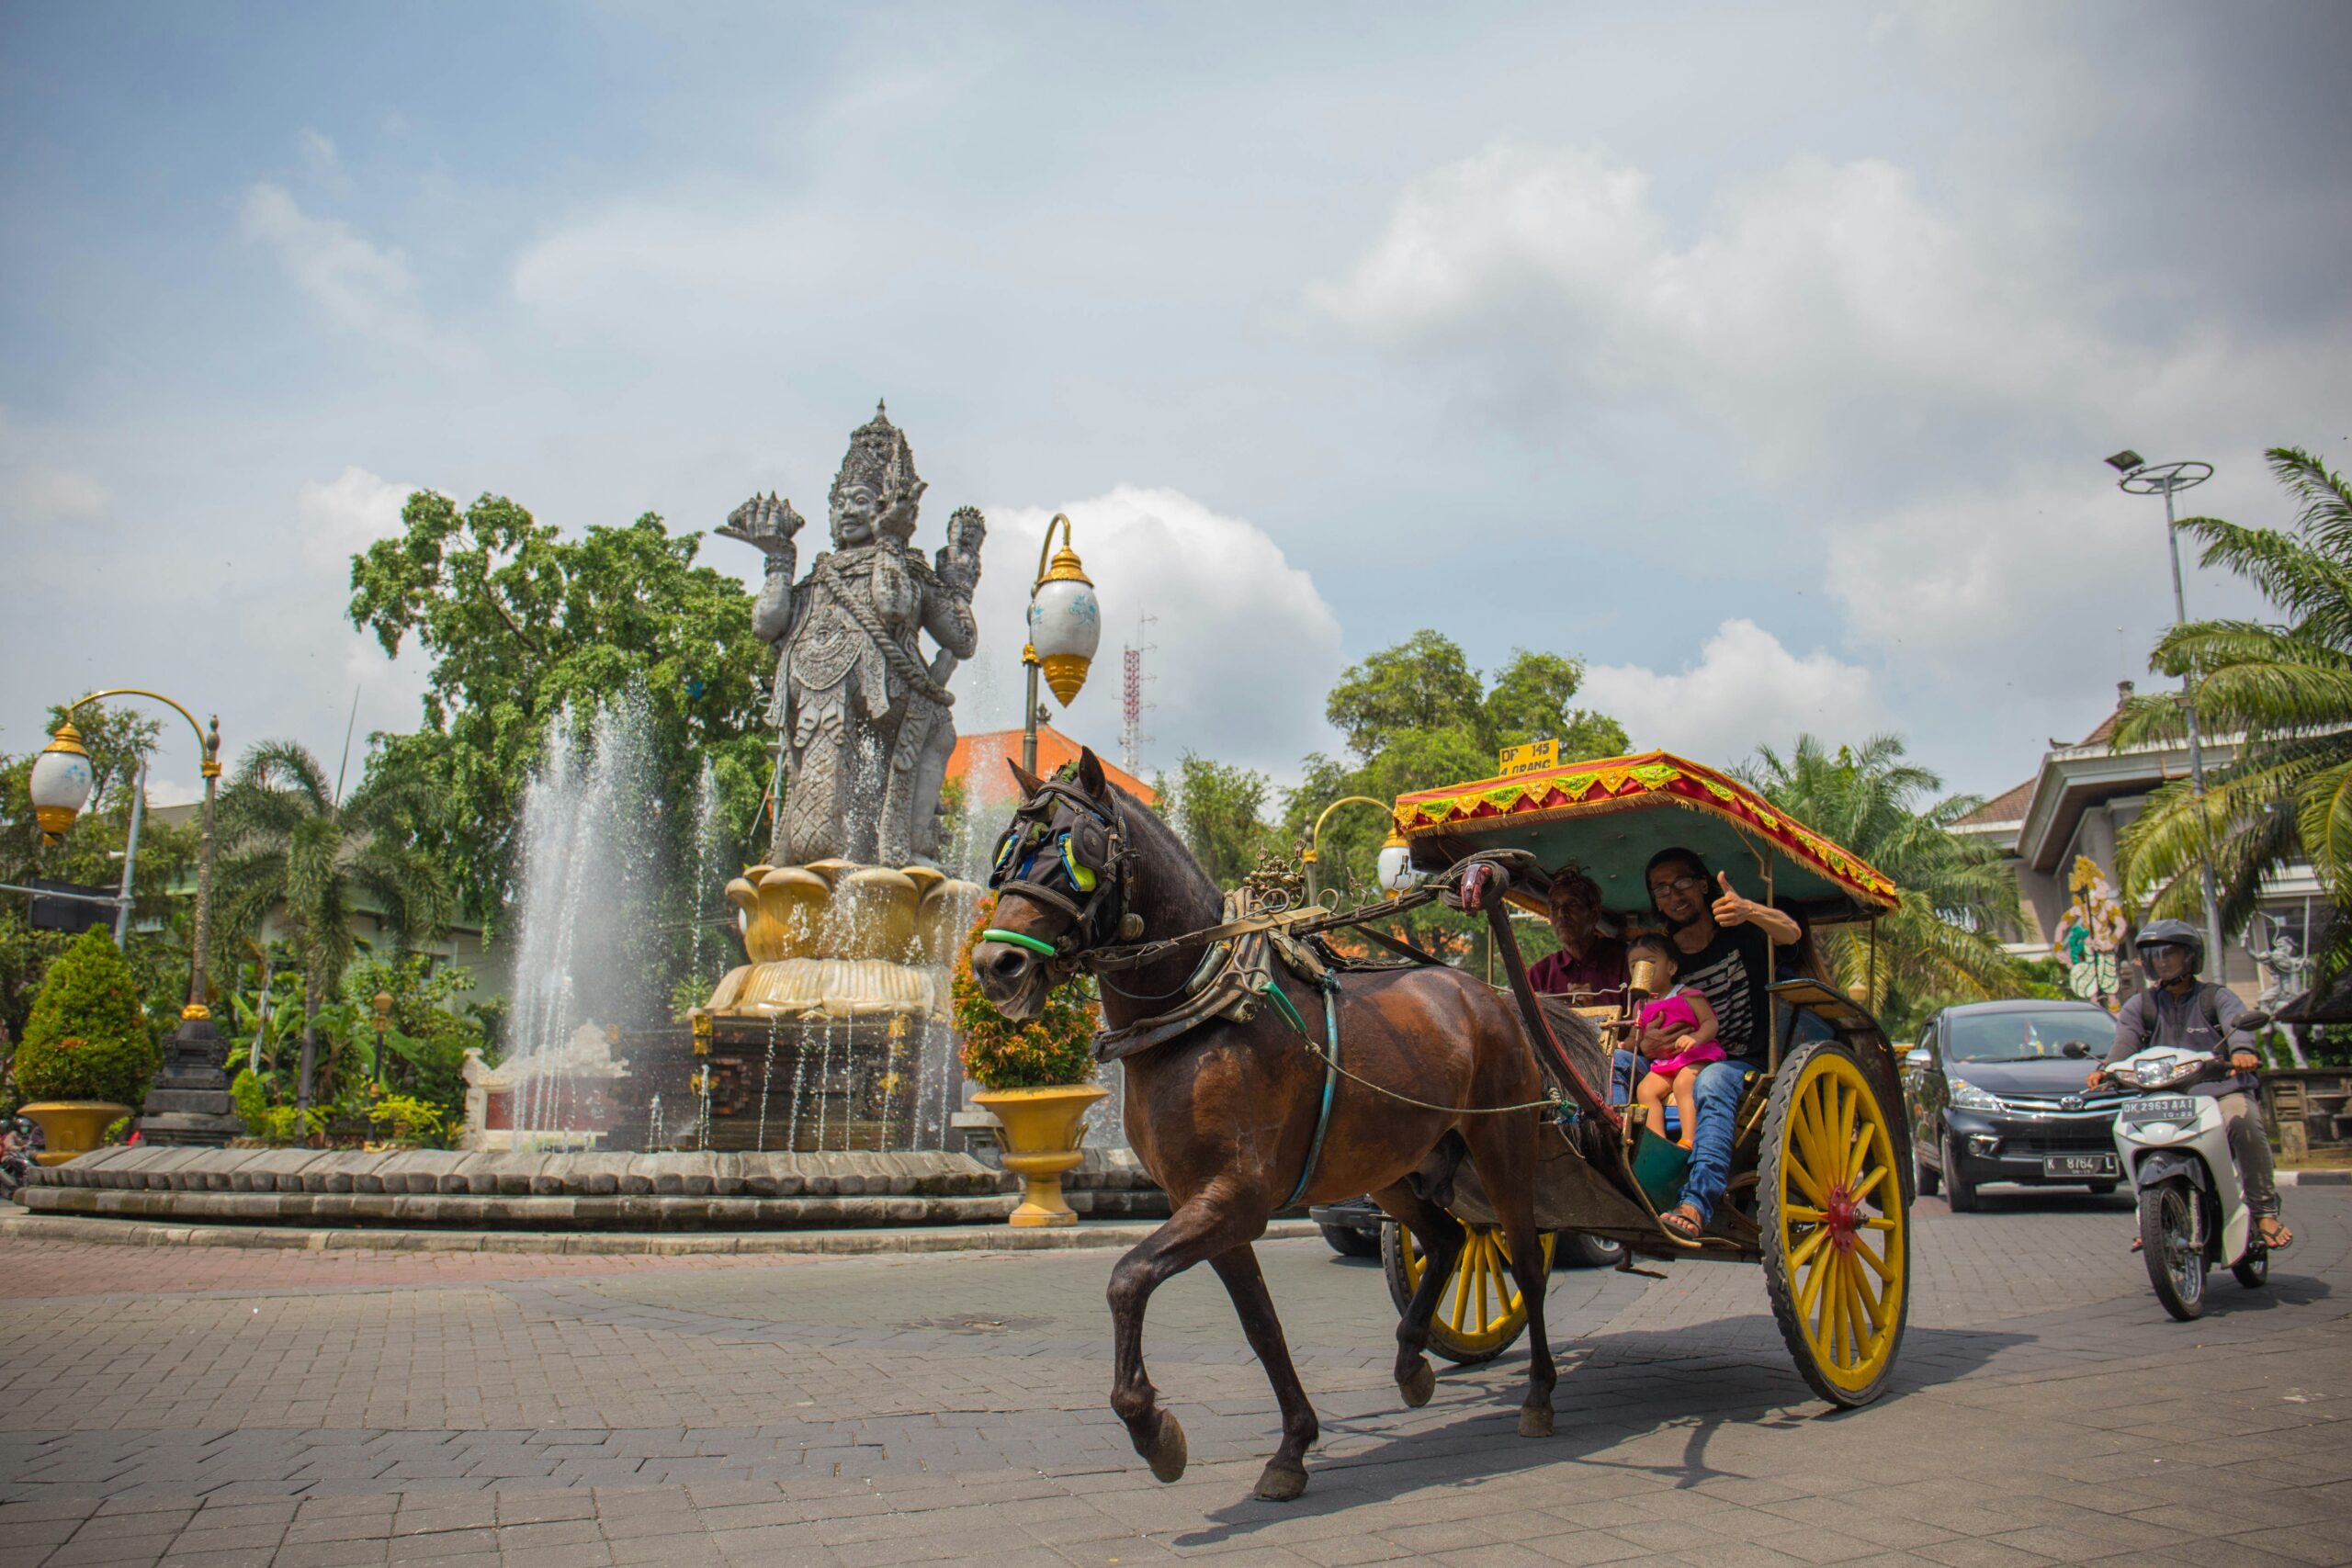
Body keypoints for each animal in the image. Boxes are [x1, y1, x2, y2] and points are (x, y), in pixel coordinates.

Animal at [973, 751, 1561, 1504]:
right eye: (1006, 852)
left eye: (1077, 851)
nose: (996, 966)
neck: (1200, 1011)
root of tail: (1483, 992)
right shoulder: (1201, 1201)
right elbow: (1261, 1326)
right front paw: (1292, 1447)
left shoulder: (1234, 1197)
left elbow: (1127, 1278)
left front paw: (1152, 1430)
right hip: (1391, 1164)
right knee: (1448, 1236)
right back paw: (1411, 1361)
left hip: (1502, 1141)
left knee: (1524, 1261)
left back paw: (1538, 1395)